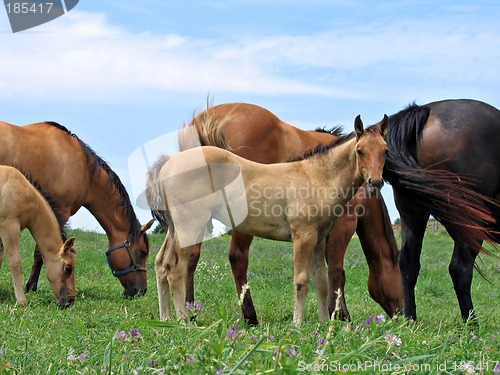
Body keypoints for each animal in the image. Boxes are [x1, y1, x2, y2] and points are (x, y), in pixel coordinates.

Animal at [178, 103, 404, 326]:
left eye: (386, 151)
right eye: (360, 151)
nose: (375, 182)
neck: (321, 176)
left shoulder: (320, 235)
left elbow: (321, 278)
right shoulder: (338, 227)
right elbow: (331, 272)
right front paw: (336, 315)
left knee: (191, 256)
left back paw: (191, 312)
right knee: (235, 257)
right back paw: (248, 316)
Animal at [382, 99, 500, 324]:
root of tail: (425, 110)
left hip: (412, 214)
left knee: (408, 264)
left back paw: (411, 320)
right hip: (469, 219)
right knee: (460, 269)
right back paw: (471, 324)